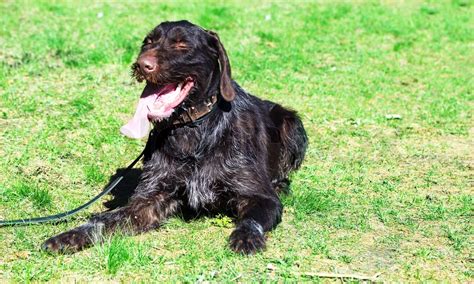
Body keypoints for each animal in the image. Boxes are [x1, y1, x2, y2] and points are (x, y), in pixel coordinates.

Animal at [42, 20, 310, 255]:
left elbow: (251, 220)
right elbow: (102, 221)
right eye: (148, 42)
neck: (192, 129)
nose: (141, 64)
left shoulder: (262, 198)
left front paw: (246, 237)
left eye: (182, 45)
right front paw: (69, 236)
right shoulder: (148, 200)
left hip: (292, 123)